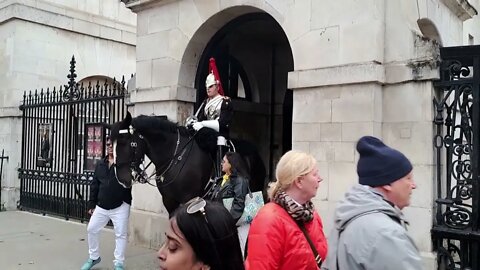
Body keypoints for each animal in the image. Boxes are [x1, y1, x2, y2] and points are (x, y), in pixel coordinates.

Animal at [109, 111, 266, 213]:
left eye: (127, 142)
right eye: (112, 145)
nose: (121, 179)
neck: (175, 156)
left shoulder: (190, 199)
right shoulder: (169, 201)